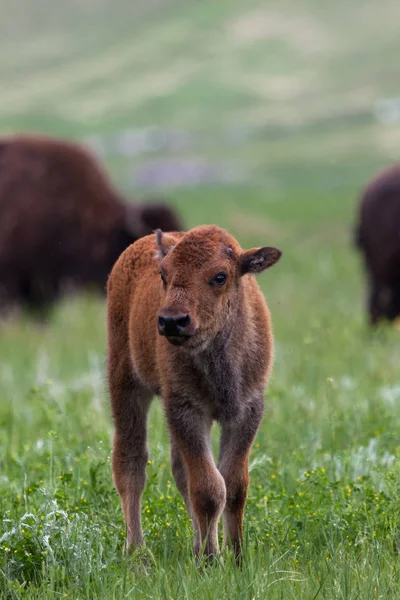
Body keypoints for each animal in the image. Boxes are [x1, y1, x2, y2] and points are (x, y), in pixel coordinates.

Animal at [106, 224, 282, 556]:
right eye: (164, 275)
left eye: (220, 276)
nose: (172, 321)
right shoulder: (186, 410)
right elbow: (209, 489)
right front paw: (211, 558)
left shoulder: (247, 411)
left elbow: (233, 486)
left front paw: (235, 556)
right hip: (126, 383)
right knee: (131, 462)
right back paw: (136, 552)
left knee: (179, 471)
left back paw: (195, 544)